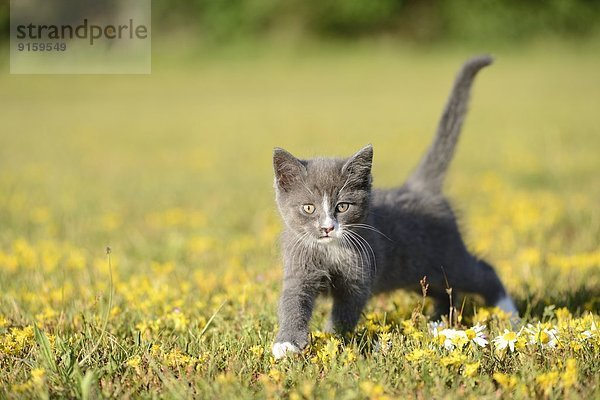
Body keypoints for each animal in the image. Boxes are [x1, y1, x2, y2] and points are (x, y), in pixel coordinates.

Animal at [270, 54, 516, 358]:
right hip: (418, 271)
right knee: (445, 289)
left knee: (480, 272)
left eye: (342, 207)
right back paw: (439, 321)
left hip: (447, 256)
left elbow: (345, 312)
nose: (327, 228)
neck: (329, 250)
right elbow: (293, 300)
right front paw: (287, 343)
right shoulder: (300, 267)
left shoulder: (359, 277)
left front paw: (335, 340)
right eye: (308, 208)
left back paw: (509, 314)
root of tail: (419, 187)